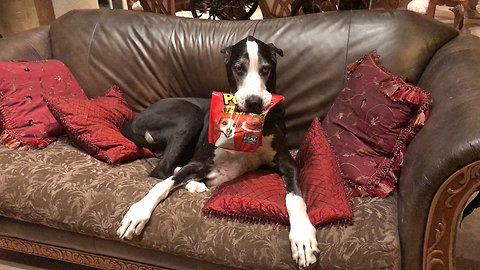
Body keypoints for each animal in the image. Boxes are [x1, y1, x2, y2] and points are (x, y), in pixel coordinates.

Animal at [116, 35, 318, 268]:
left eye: (266, 68)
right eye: (238, 68)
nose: (254, 102)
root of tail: (131, 121)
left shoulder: (288, 164)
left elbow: (295, 199)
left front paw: (302, 236)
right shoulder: (199, 161)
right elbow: (162, 185)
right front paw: (139, 211)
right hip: (189, 114)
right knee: (162, 170)